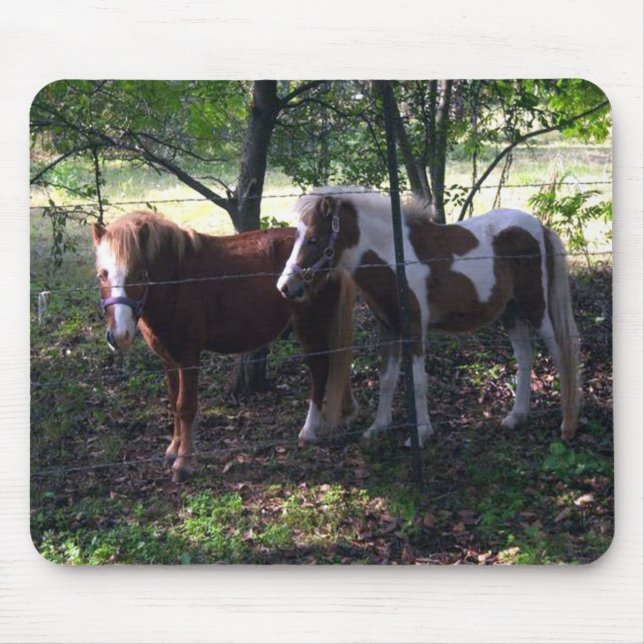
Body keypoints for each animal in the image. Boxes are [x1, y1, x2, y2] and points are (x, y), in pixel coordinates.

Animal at [92, 210, 356, 482]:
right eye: (102, 275)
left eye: (138, 274)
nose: (119, 336)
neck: (177, 280)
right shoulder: (168, 359)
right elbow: (173, 401)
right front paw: (173, 449)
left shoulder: (189, 357)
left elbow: (186, 406)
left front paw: (184, 462)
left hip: (310, 329)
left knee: (321, 371)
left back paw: (309, 431)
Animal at [277, 189, 580, 447]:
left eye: (313, 238)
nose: (285, 286)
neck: (394, 259)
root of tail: (539, 227)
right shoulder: (389, 328)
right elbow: (387, 378)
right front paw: (378, 427)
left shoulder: (414, 329)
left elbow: (418, 381)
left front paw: (421, 434)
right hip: (512, 312)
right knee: (525, 356)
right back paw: (517, 417)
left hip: (536, 308)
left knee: (561, 353)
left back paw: (568, 425)